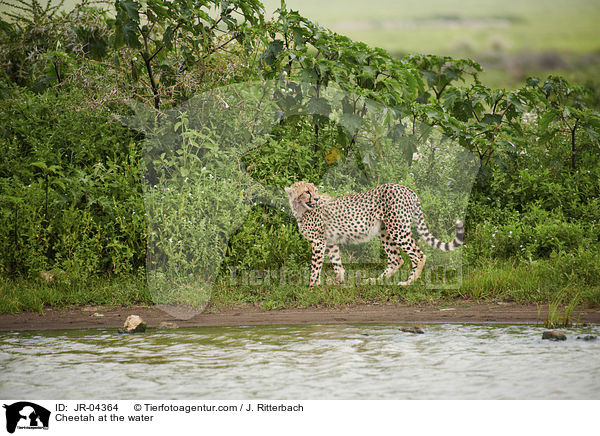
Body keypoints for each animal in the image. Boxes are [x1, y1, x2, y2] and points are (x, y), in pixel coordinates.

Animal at [284, 181, 464, 288]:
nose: (316, 198)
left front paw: (312, 286)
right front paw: (339, 282)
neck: (301, 209)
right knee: (396, 259)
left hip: (398, 229)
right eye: (307, 191)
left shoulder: (318, 241)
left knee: (419, 255)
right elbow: (336, 261)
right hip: (385, 231)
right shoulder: (329, 241)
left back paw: (408, 282)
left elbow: (315, 266)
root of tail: (406, 188)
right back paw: (376, 281)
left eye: (315, 191)